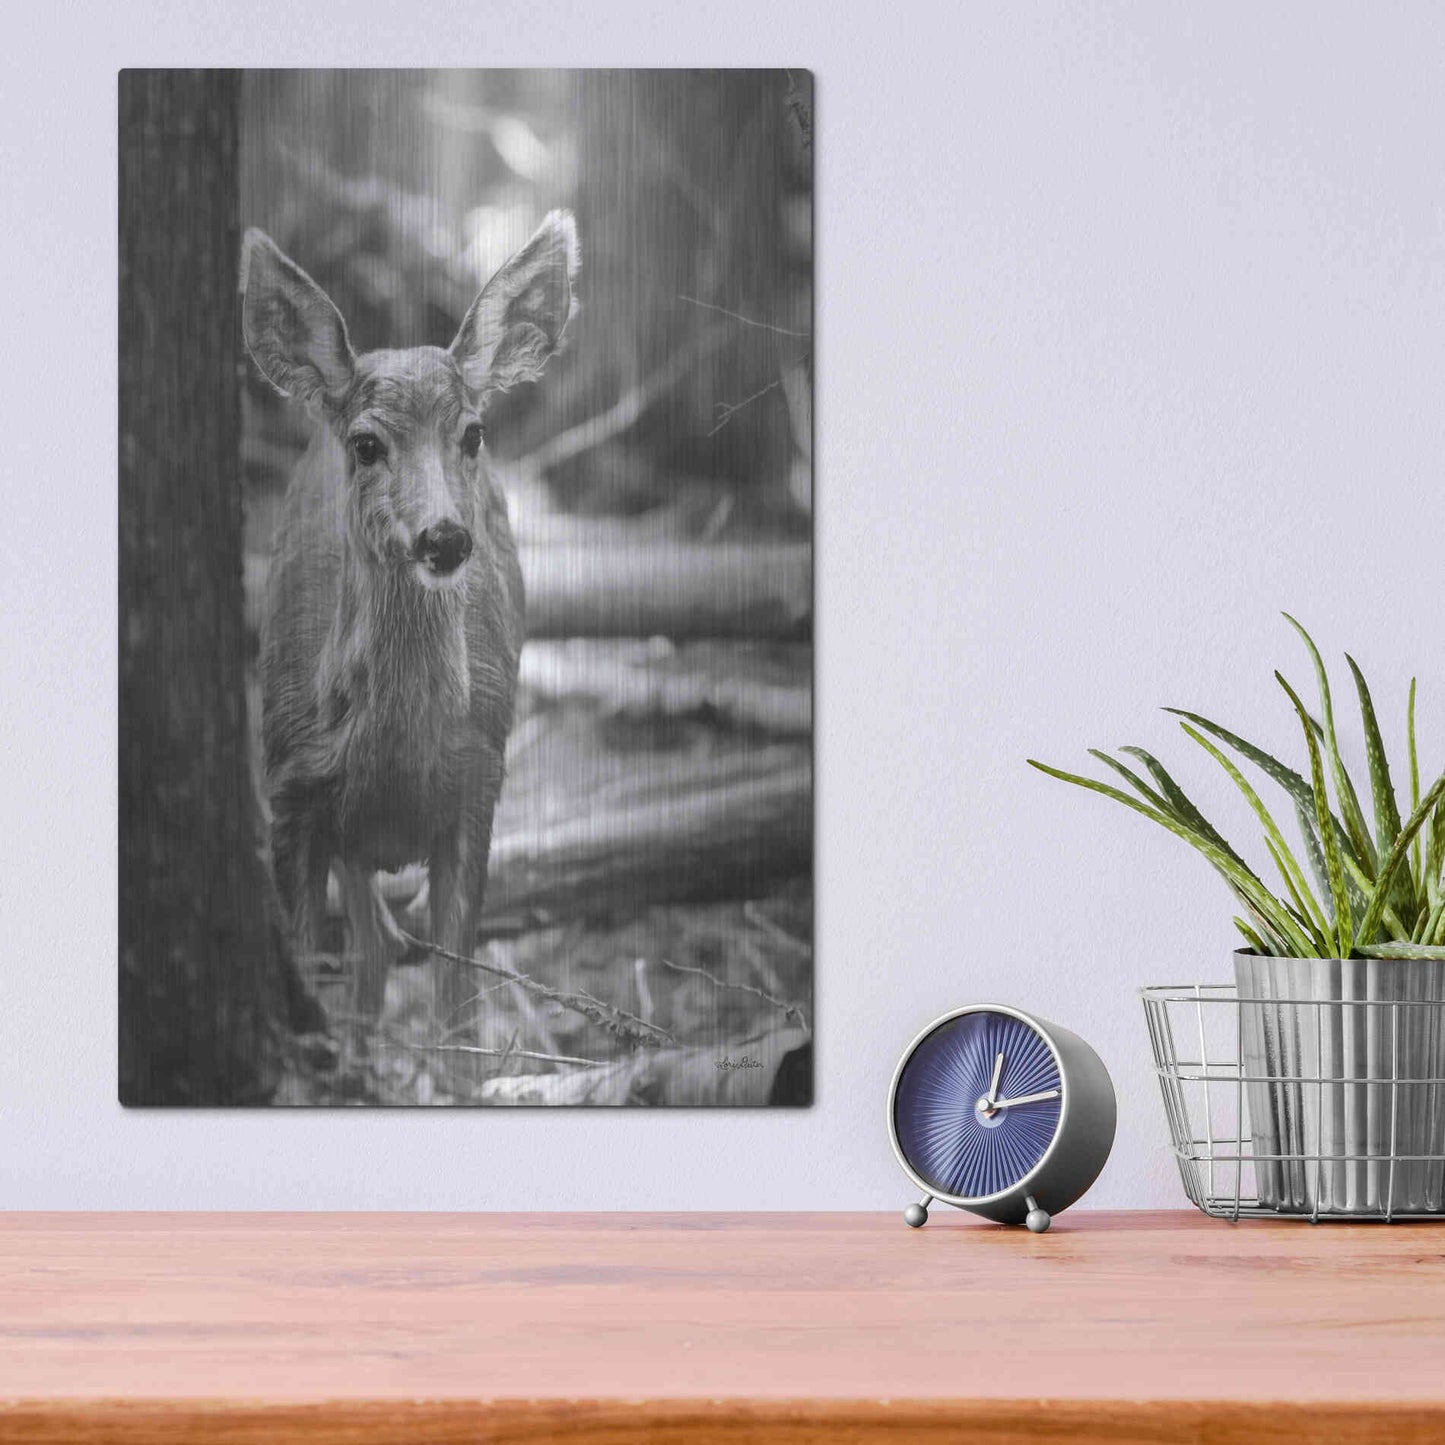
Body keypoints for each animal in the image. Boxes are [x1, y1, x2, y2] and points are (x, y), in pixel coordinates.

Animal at [239, 211, 579, 1036]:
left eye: (473, 434)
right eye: (366, 443)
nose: (445, 538)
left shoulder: (480, 783)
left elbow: (456, 1017)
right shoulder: (291, 791)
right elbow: (312, 966)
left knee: (379, 948)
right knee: (372, 949)